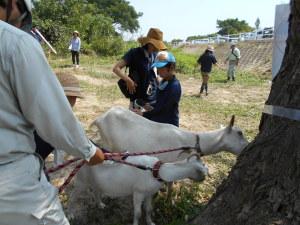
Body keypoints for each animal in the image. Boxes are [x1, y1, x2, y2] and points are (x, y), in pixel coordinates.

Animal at [69, 154, 207, 225]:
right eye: (202, 168)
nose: (204, 178)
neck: (156, 171)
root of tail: (81, 159)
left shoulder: (149, 193)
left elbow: (149, 209)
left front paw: (150, 222)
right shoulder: (138, 193)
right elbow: (138, 212)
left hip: (96, 181)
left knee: (96, 190)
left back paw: (100, 204)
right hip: (81, 181)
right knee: (73, 197)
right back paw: (71, 214)